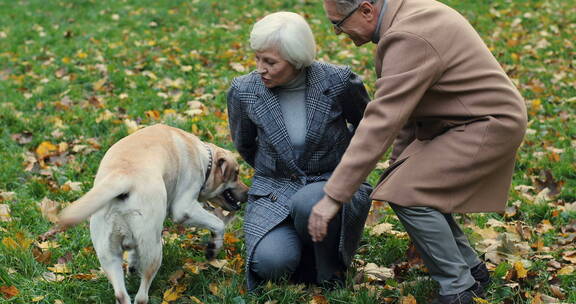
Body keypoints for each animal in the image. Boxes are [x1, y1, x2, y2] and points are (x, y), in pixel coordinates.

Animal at [53, 123, 245, 304]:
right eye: (236, 173)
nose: (247, 193)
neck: (205, 160)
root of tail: (122, 176)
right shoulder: (184, 209)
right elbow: (218, 224)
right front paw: (213, 248)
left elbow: (132, 252)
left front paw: (132, 267)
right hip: (154, 250)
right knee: (141, 297)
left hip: (108, 254)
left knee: (122, 295)